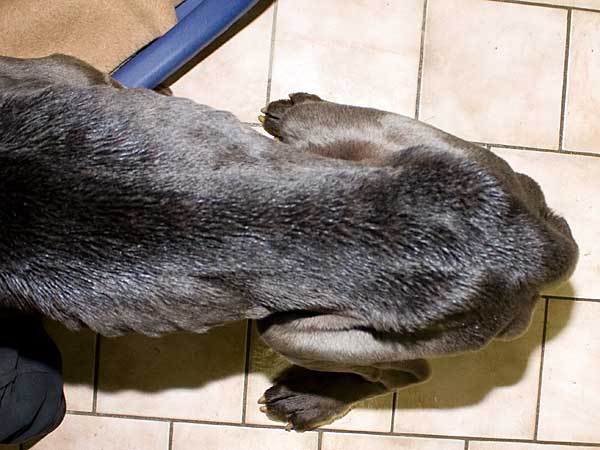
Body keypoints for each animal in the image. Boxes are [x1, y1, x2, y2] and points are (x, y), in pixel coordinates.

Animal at [0, 54, 578, 431]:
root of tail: (534, 249)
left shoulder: (59, 70)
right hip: (416, 145)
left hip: (301, 334)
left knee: (407, 371)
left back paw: (308, 401)